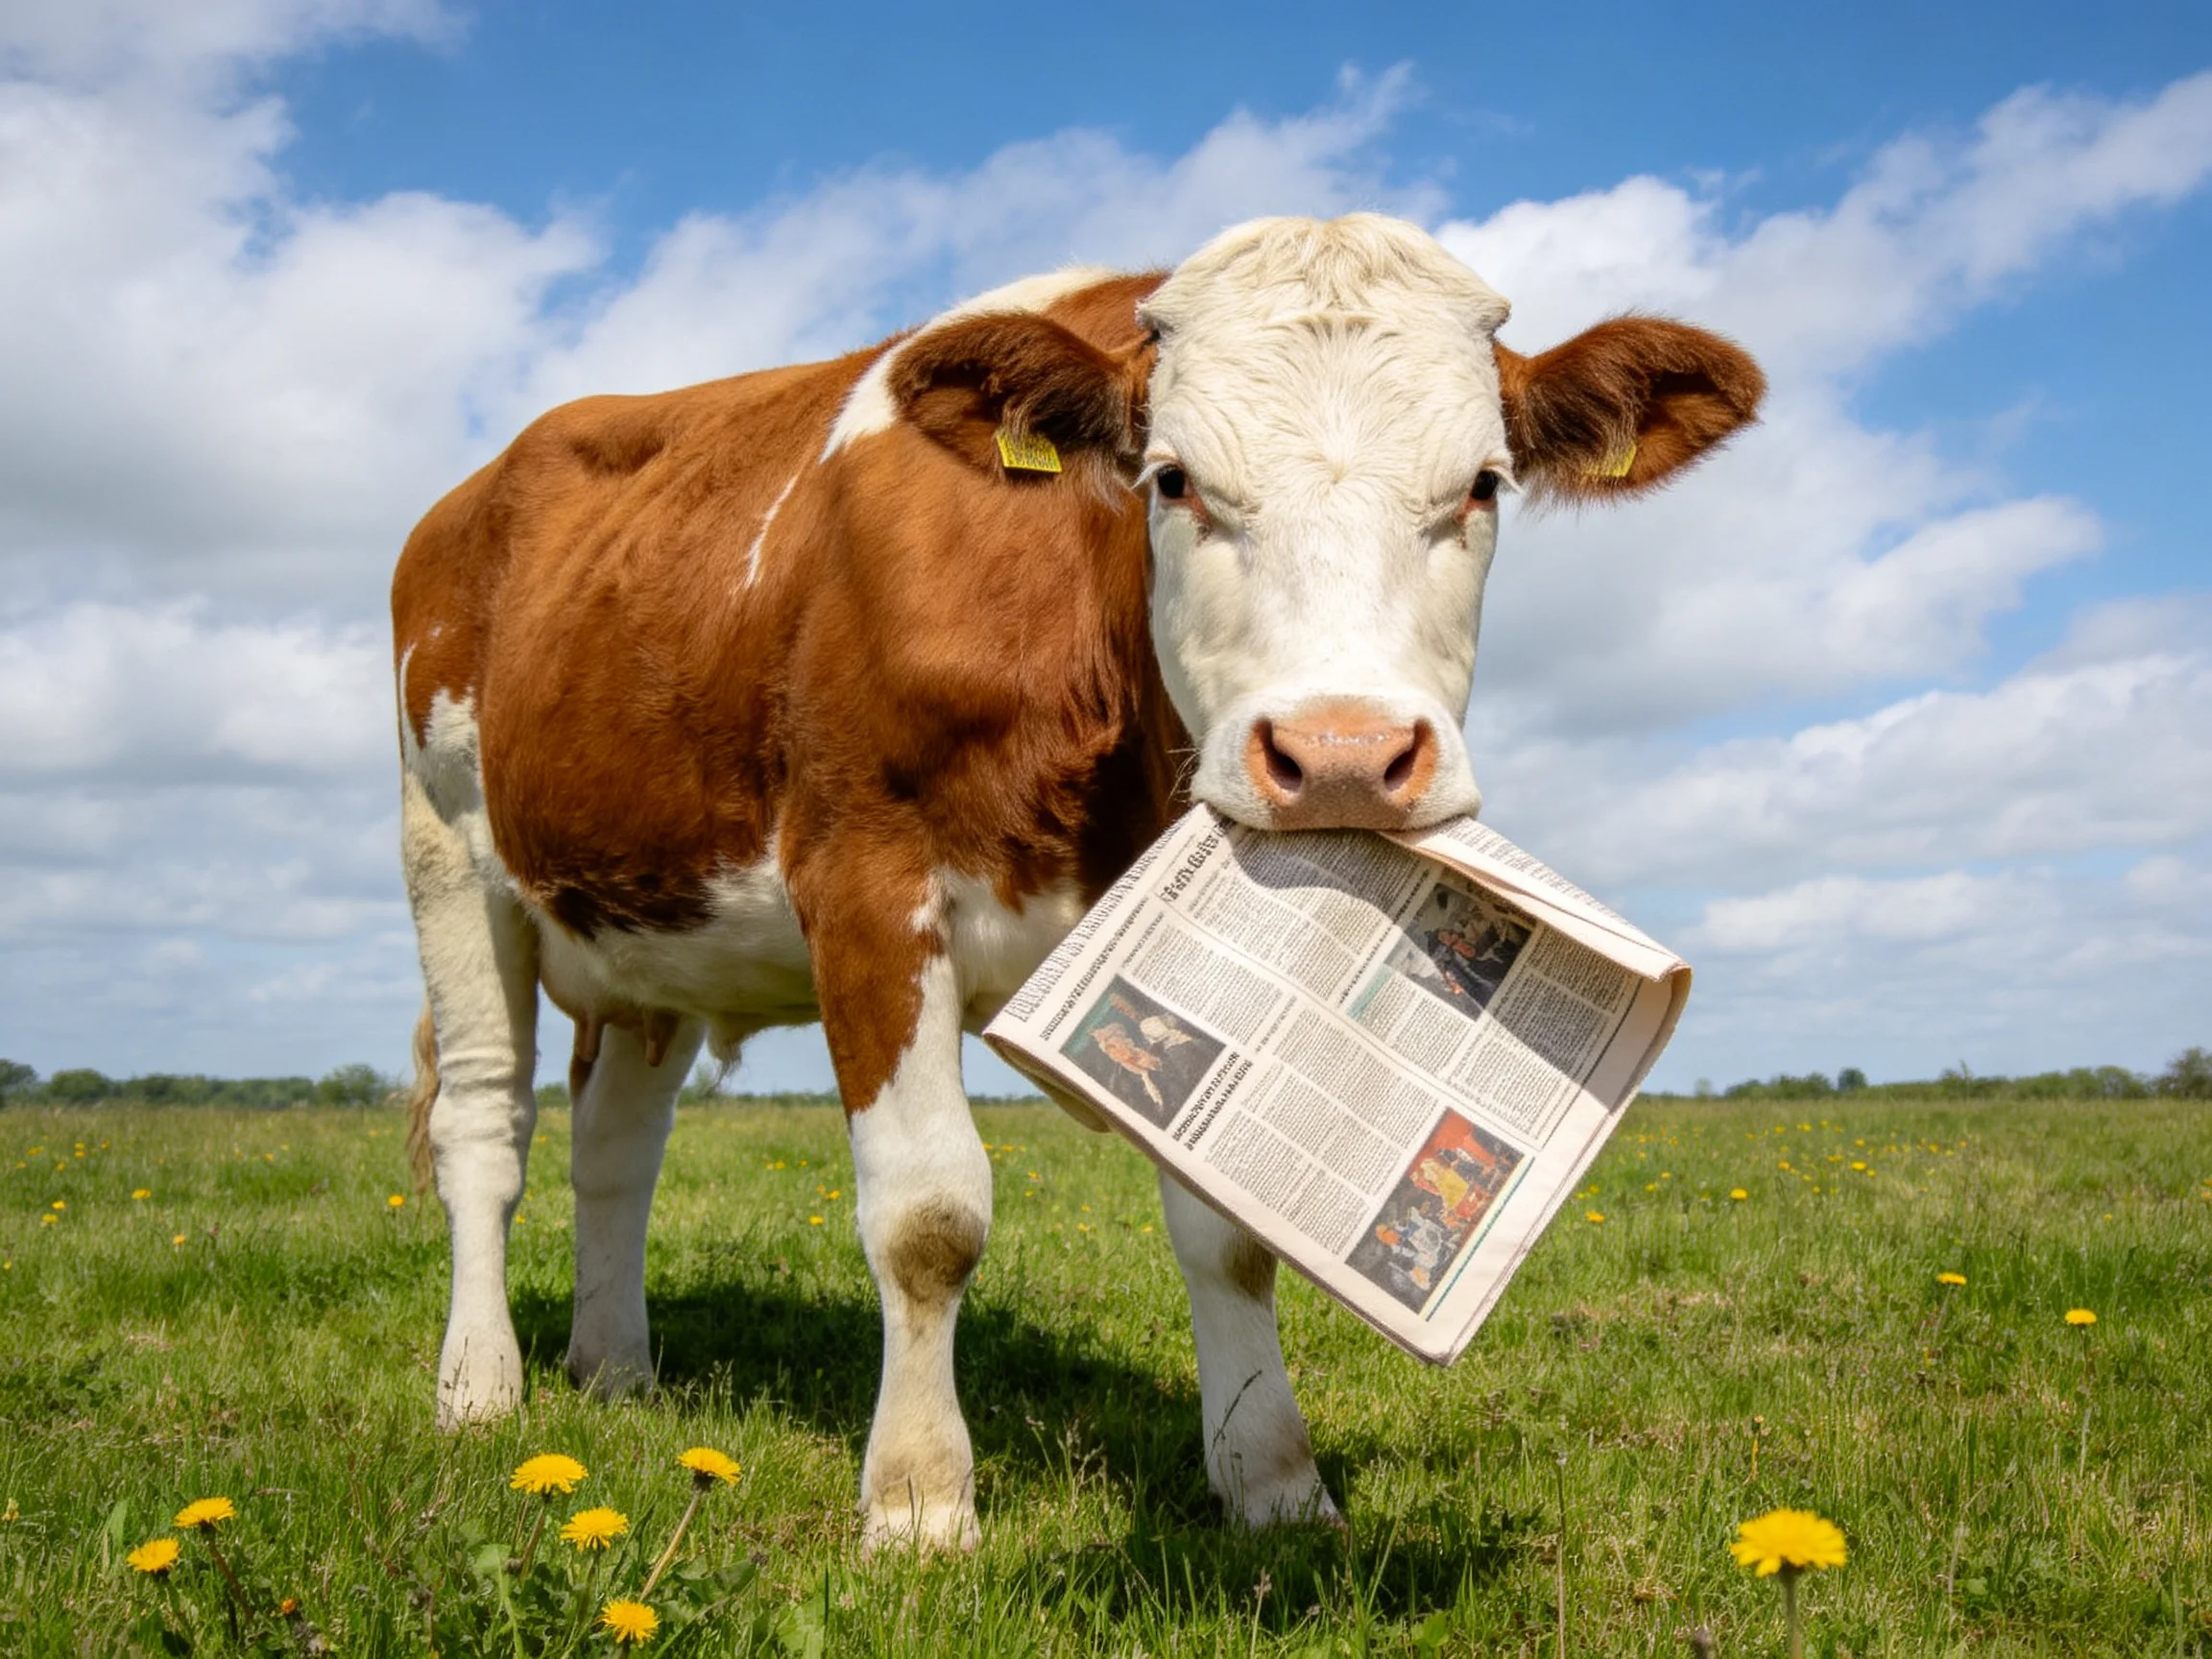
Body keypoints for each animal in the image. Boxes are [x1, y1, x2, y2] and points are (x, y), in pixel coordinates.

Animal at [392, 213, 1762, 1550]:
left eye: (1483, 485)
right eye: (1174, 479)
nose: (1343, 756)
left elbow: (1230, 1236)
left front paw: (1273, 1483)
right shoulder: (864, 879)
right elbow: (928, 1217)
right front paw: (919, 1502)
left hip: (652, 934)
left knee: (616, 1142)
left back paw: (617, 1371)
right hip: (448, 853)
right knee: (486, 1128)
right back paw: (481, 1388)